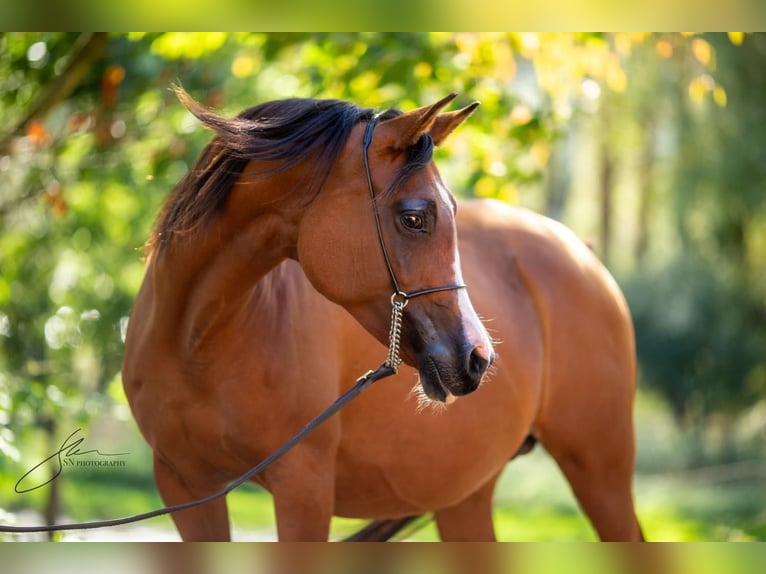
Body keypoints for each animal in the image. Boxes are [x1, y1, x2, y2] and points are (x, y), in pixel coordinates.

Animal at [123, 91, 644, 544]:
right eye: (415, 217)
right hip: (465, 496)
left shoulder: (303, 487)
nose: (477, 357)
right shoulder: (186, 487)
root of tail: (580, 249)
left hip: (600, 471)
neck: (199, 341)